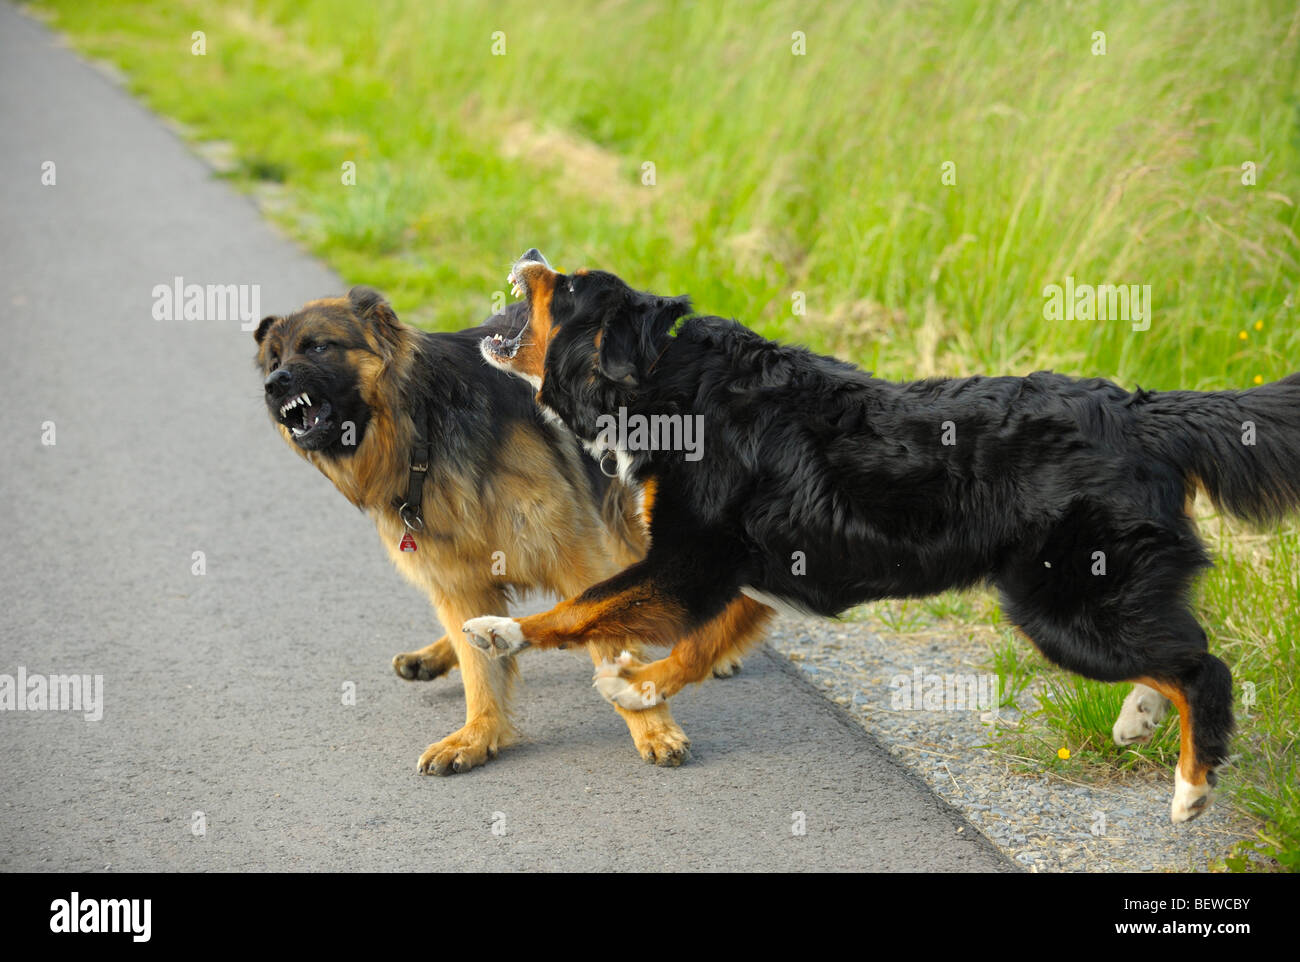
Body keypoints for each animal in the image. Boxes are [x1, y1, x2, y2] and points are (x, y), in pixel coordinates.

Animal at [467, 252, 1300, 821]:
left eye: (566, 288)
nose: (531, 253)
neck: (661, 382)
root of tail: (1141, 410)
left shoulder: (689, 559)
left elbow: (584, 607)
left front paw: (500, 631)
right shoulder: (749, 572)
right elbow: (699, 647)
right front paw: (637, 686)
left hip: (1064, 605)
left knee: (1203, 666)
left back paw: (1191, 786)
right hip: (1097, 595)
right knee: (1179, 649)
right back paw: (1140, 718)